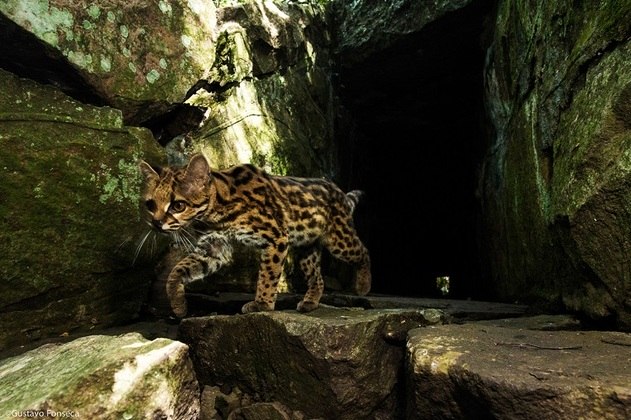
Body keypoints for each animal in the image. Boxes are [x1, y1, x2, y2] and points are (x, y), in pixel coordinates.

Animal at [141, 153, 372, 316]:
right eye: (150, 205)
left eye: (178, 205)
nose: (156, 223)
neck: (216, 213)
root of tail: (339, 192)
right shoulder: (213, 248)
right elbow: (178, 269)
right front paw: (178, 304)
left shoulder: (276, 237)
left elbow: (268, 274)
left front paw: (262, 304)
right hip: (307, 249)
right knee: (317, 278)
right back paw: (310, 302)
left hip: (339, 240)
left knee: (364, 252)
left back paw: (363, 286)